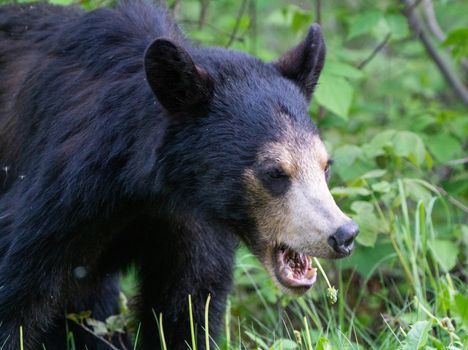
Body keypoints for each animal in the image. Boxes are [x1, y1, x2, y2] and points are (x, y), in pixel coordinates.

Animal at [0, 0, 358, 350]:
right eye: (274, 172)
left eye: (326, 165)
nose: (344, 234)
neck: (146, 186)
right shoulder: (58, 201)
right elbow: (15, 293)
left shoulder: (192, 225)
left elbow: (186, 306)